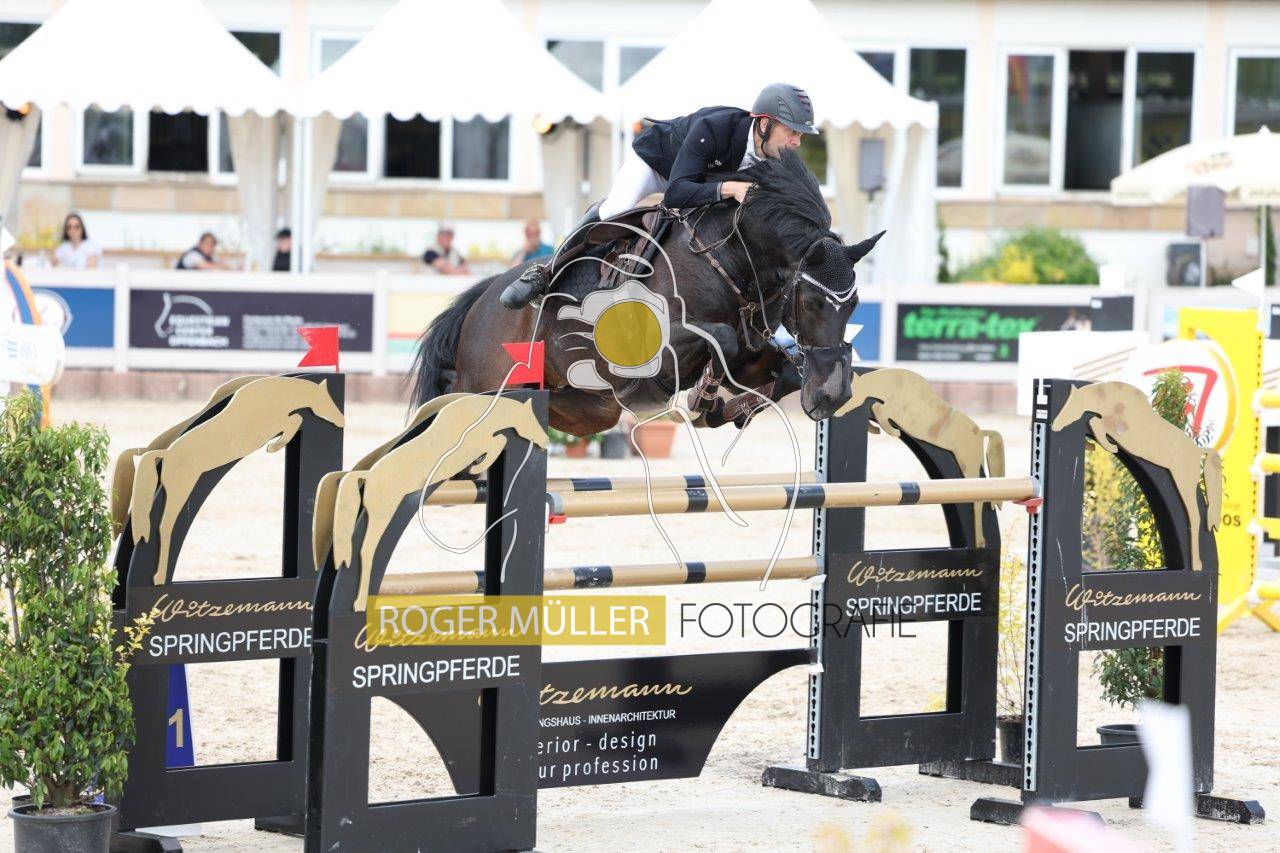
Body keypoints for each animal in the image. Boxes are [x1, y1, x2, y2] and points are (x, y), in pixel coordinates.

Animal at [409, 150, 883, 437]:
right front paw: (701, 401)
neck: (730, 260)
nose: (830, 397)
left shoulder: (750, 355)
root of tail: (482, 297)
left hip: (593, 407)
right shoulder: (663, 344)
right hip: (486, 379)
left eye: (855, 306)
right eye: (812, 302)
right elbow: (721, 340)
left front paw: (723, 410)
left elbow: (781, 373)